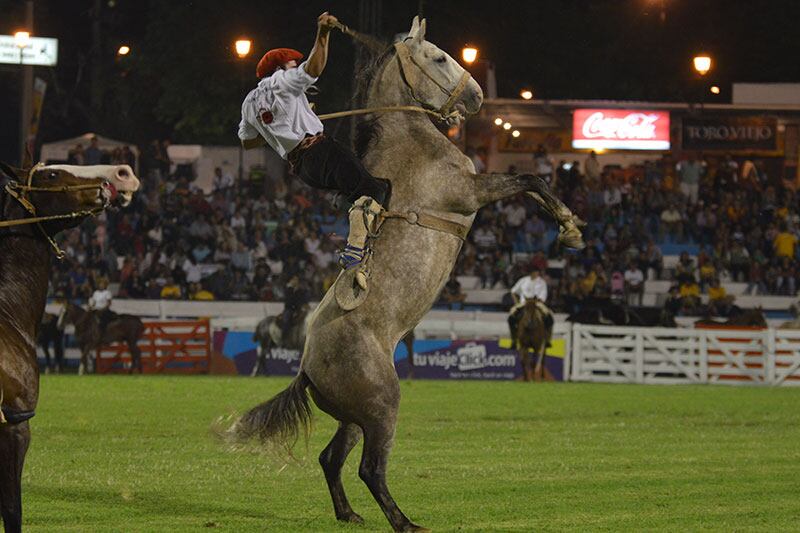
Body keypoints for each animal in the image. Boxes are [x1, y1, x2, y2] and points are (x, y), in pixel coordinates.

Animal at [228, 17, 584, 532]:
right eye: (437, 56)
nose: (476, 97)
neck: (411, 138)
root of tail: (306, 370)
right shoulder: (470, 192)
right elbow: (531, 180)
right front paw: (570, 227)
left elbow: (531, 185)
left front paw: (570, 225)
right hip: (382, 408)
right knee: (369, 468)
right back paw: (405, 522)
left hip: (355, 418)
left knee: (331, 459)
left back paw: (349, 514)